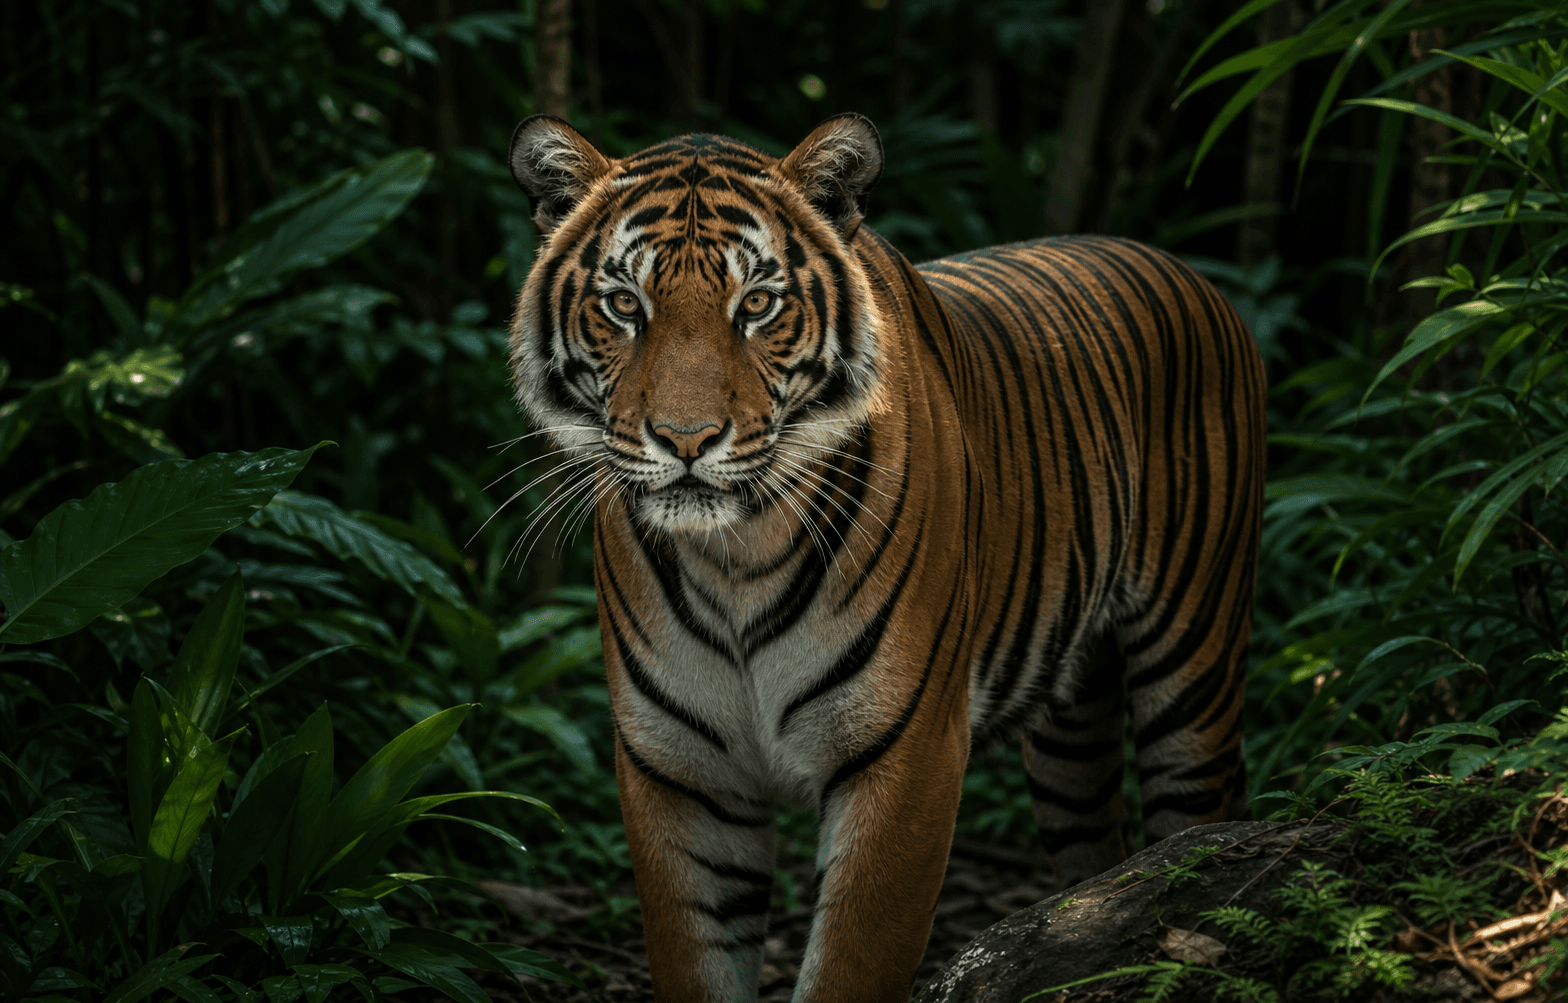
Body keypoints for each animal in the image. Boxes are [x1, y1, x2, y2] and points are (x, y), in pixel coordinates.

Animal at [505, 112, 1265, 1003]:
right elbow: (695, 960)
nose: (687, 441)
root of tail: (1185, 269)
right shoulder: (680, 774)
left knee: (1199, 839)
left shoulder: (907, 755)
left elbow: (853, 963)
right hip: (1072, 735)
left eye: (757, 304)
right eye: (624, 304)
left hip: (1193, 676)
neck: (735, 555)